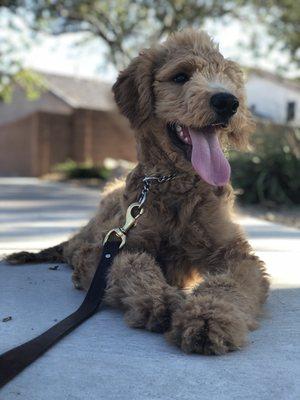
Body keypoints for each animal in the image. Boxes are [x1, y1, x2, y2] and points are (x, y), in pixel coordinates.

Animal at [7, 29, 270, 354]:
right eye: (181, 76)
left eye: (227, 78)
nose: (227, 102)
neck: (174, 184)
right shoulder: (107, 248)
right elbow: (132, 264)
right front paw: (161, 301)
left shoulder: (236, 254)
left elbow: (229, 282)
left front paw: (209, 318)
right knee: (72, 248)